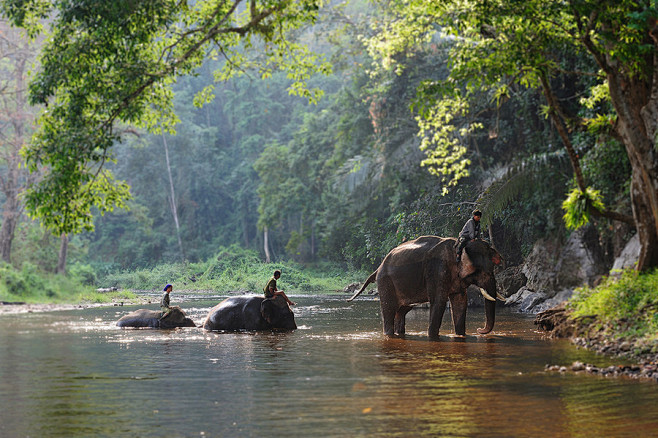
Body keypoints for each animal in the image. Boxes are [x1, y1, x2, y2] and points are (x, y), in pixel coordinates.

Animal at [348, 236, 502, 338]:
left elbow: (460, 303)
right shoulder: (437, 270)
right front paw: (433, 337)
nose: (479, 330)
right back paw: (389, 334)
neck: (459, 246)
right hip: (385, 282)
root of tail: (378, 268)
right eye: (486, 271)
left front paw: (461, 335)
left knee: (402, 311)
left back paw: (400, 333)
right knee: (389, 310)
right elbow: (439, 302)